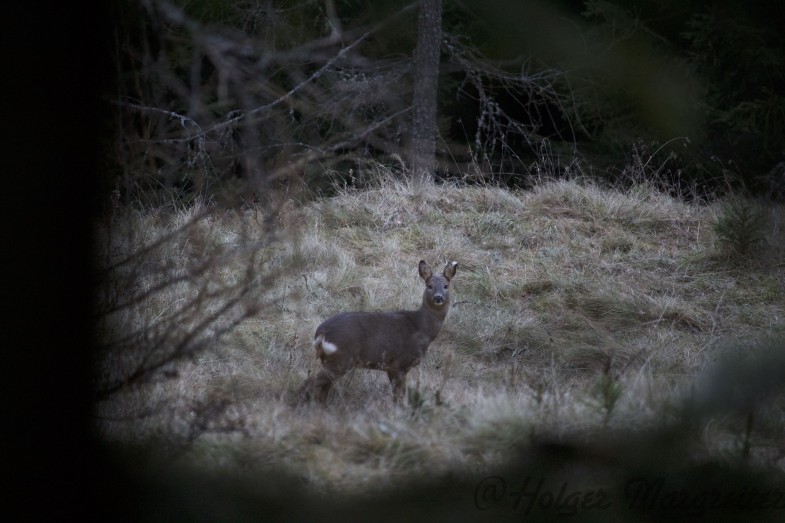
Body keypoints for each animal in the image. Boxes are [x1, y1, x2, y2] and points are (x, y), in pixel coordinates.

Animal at [302, 260, 460, 406]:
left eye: (446, 286)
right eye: (430, 286)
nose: (438, 297)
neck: (423, 328)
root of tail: (321, 333)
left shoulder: (390, 367)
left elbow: (395, 395)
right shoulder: (402, 363)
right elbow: (400, 396)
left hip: (331, 360)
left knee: (323, 388)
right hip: (341, 358)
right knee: (309, 383)